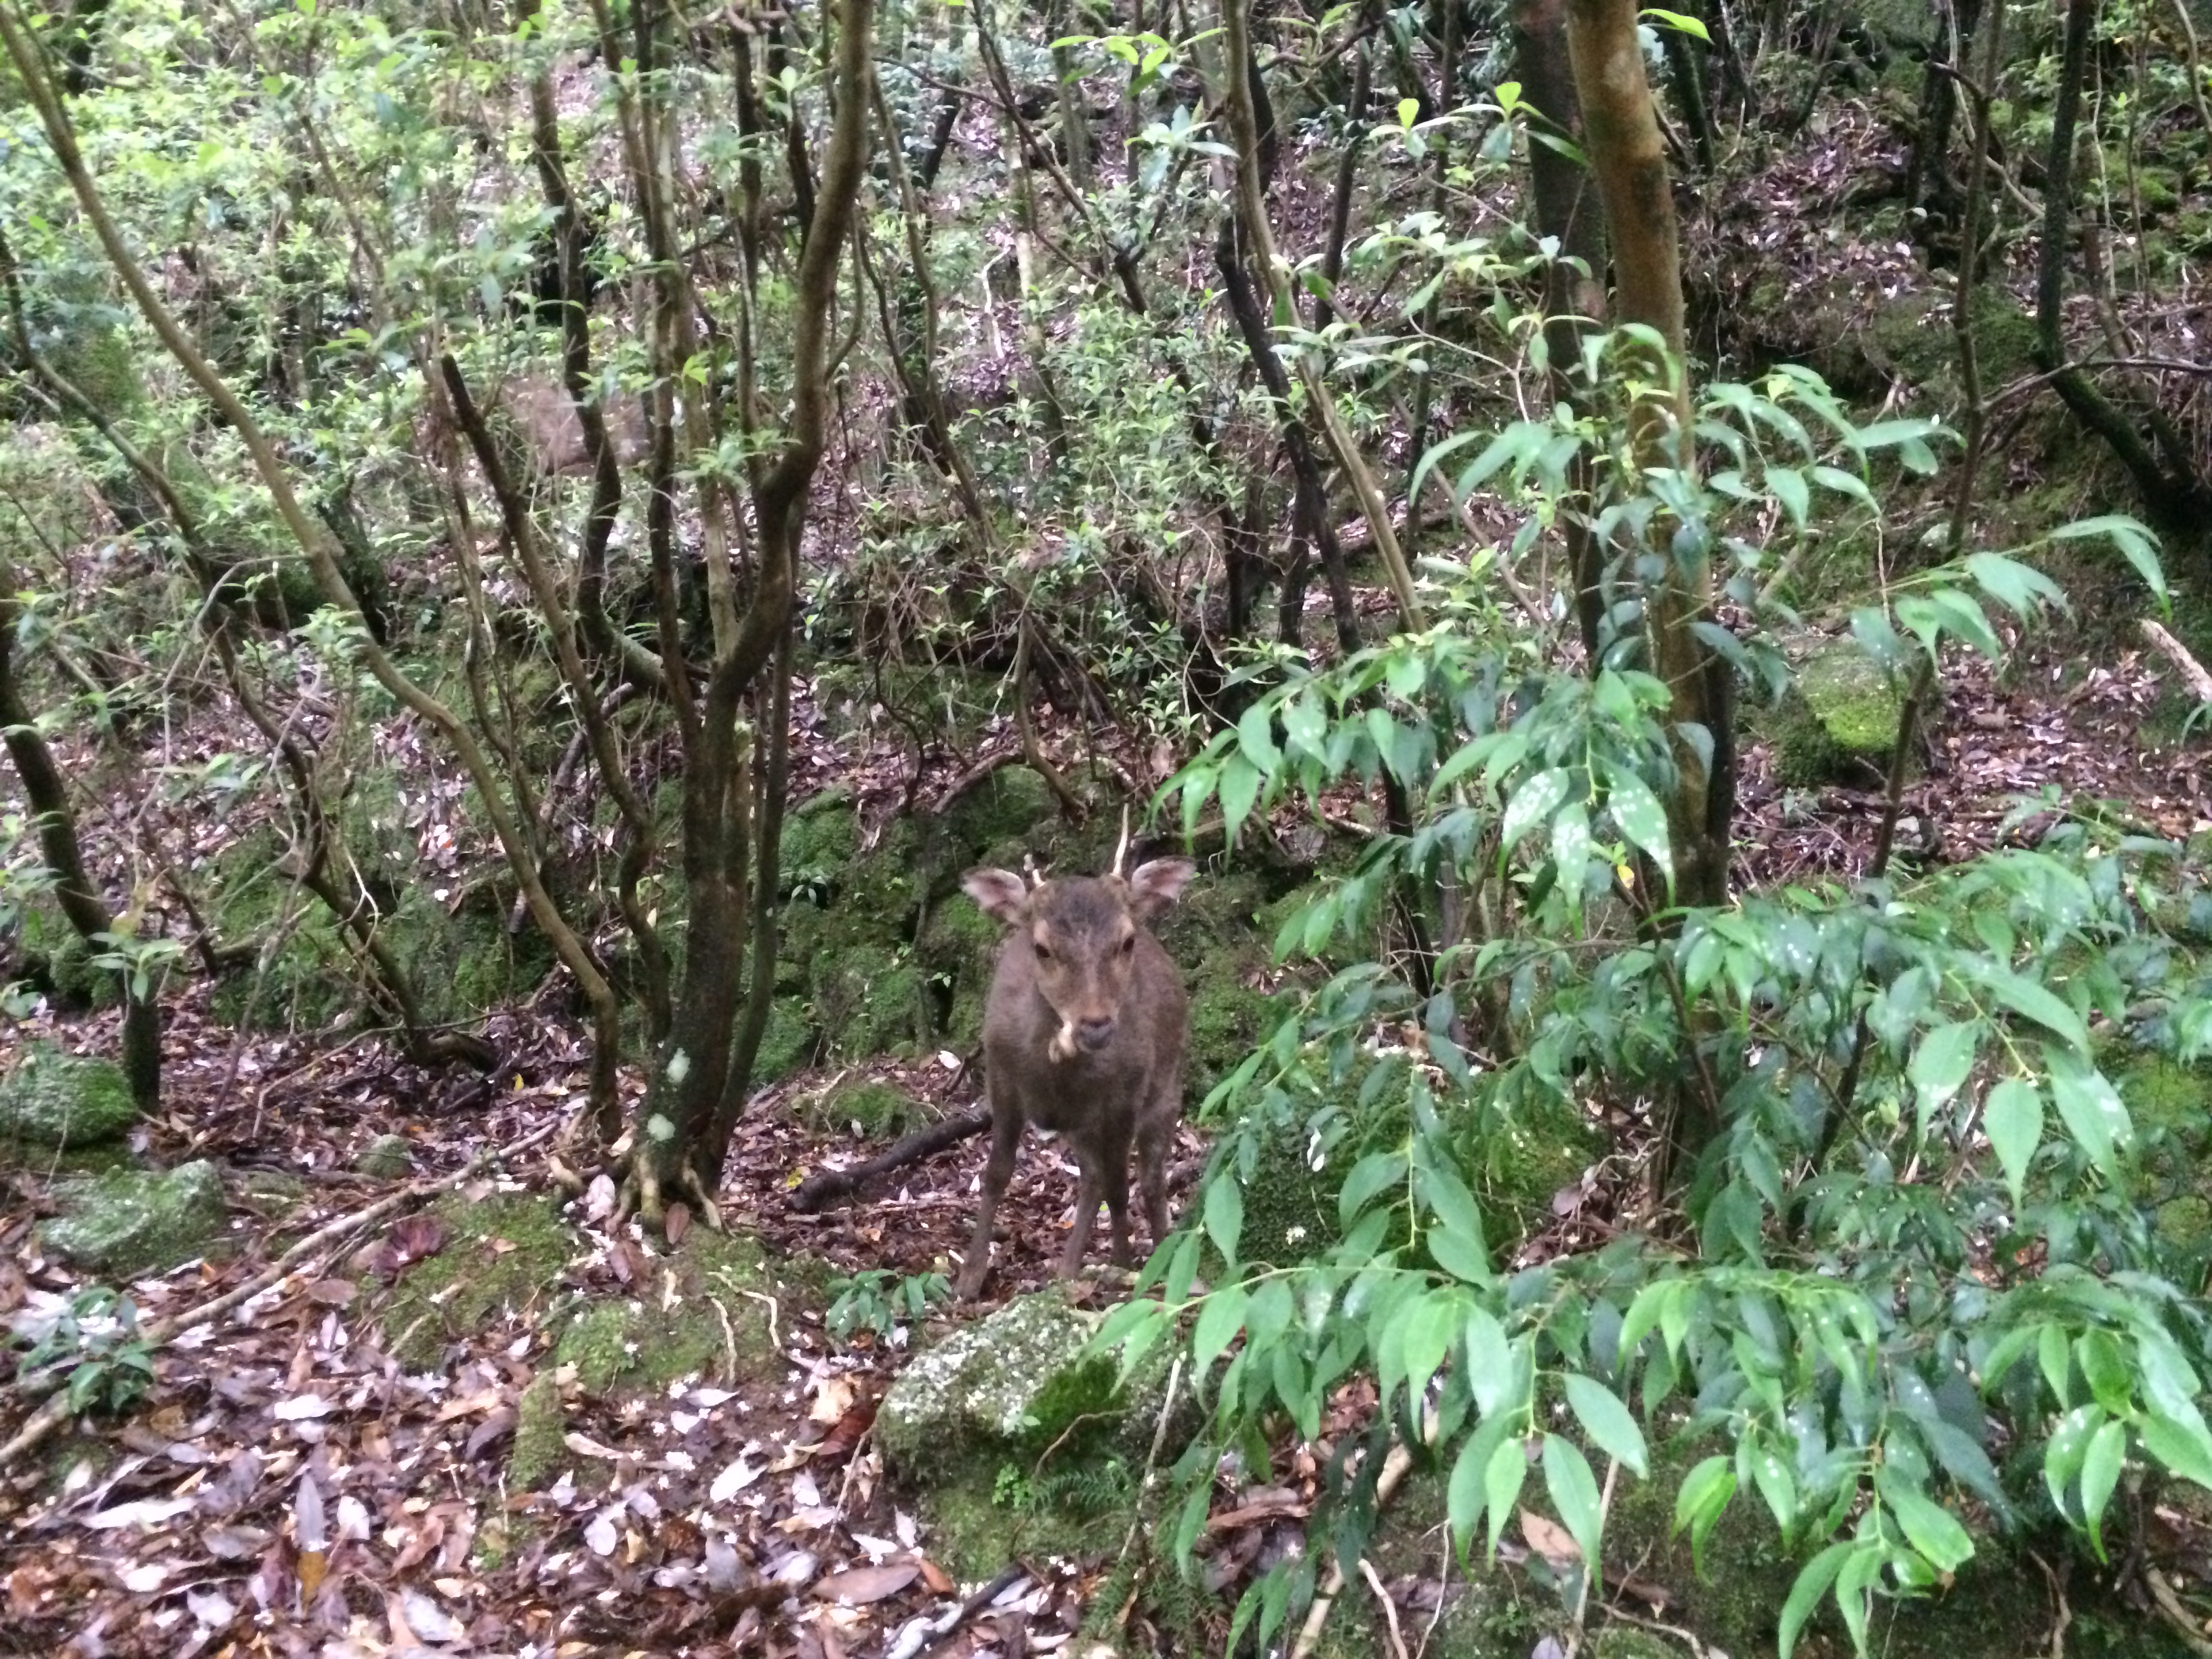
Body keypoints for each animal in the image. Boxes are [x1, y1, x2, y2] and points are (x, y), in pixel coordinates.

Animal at [951, 849, 1194, 1309]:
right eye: (1042, 948)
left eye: (1127, 941)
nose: (1095, 1024)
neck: (1052, 1075)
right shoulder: (1000, 1077)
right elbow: (996, 1173)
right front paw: (968, 1279)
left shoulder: (1126, 1093)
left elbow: (1121, 1185)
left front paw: (1122, 1265)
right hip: (1082, 1123)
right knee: (1096, 1175)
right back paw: (1073, 1270)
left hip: (1166, 1091)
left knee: (1147, 1180)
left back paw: (1157, 1253)